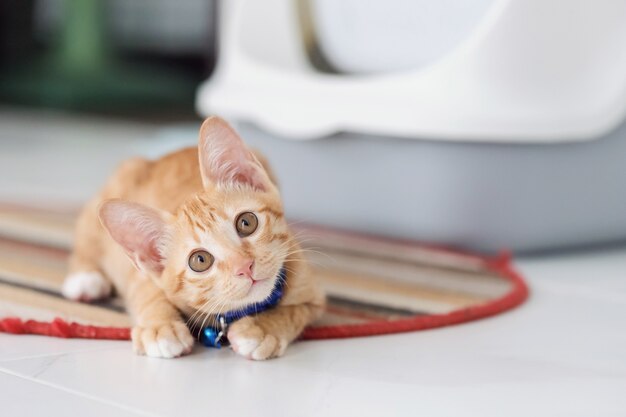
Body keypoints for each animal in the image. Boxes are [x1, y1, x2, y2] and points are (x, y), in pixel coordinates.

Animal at [62, 116, 324, 358]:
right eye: (200, 260)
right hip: (115, 185)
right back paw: (85, 277)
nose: (245, 267)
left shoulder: (313, 294)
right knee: (86, 237)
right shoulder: (143, 276)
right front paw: (161, 327)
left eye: (246, 223)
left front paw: (262, 329)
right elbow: (148, 293)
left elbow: (295, 311)